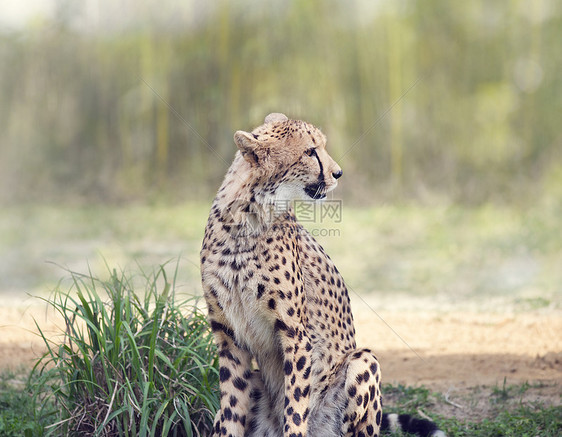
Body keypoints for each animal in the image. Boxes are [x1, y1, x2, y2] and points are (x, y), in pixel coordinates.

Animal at [199, 113, 444, 436]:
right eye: (310, 151)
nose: (338, 173)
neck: (245, 216)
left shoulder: (295, 334)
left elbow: (295, 406)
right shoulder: (228, 335)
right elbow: (230, 407)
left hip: (363, 362)